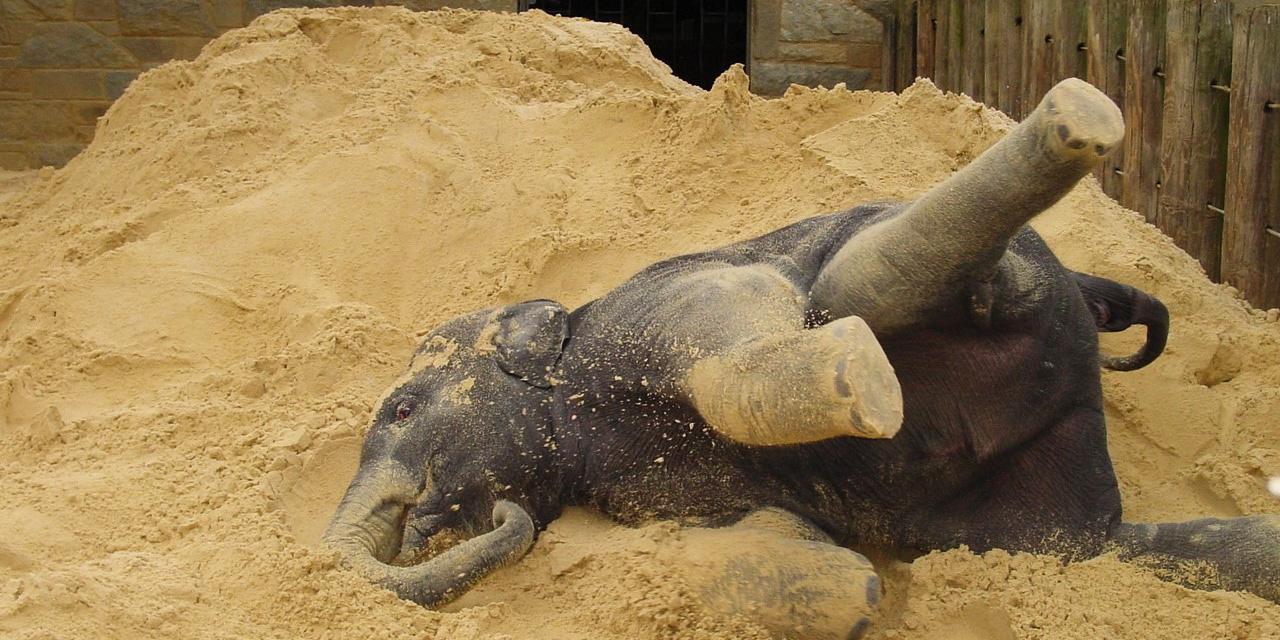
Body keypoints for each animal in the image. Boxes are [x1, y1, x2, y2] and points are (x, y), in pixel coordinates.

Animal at [322, 78, 1280, 634]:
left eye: (403, 408)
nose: (487, 515)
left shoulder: (656, 304)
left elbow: (743, 321)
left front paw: (857, 378)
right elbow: (778, 540)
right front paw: (853, 588)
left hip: (984, 287)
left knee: (861, 283)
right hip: (1042, 515)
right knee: (1102, 546)